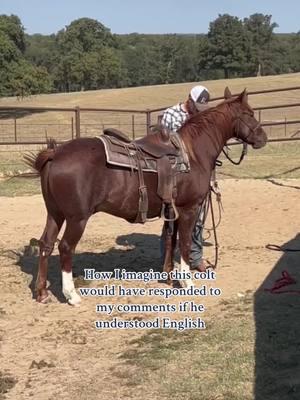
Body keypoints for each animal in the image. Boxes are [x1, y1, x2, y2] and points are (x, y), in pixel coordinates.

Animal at [27, 87, 268, 304]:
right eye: (249, 113)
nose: (263, 138)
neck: (192, 154)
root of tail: (56, 153)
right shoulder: (189, 209)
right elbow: (185, 243)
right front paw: (187, 282)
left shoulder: (172, 210)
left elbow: (171, 240)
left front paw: (169, 276)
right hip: (77, 218)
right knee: (65, 247)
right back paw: (72, 295)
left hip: (55, 213)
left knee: (46, 244)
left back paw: (42, 292)